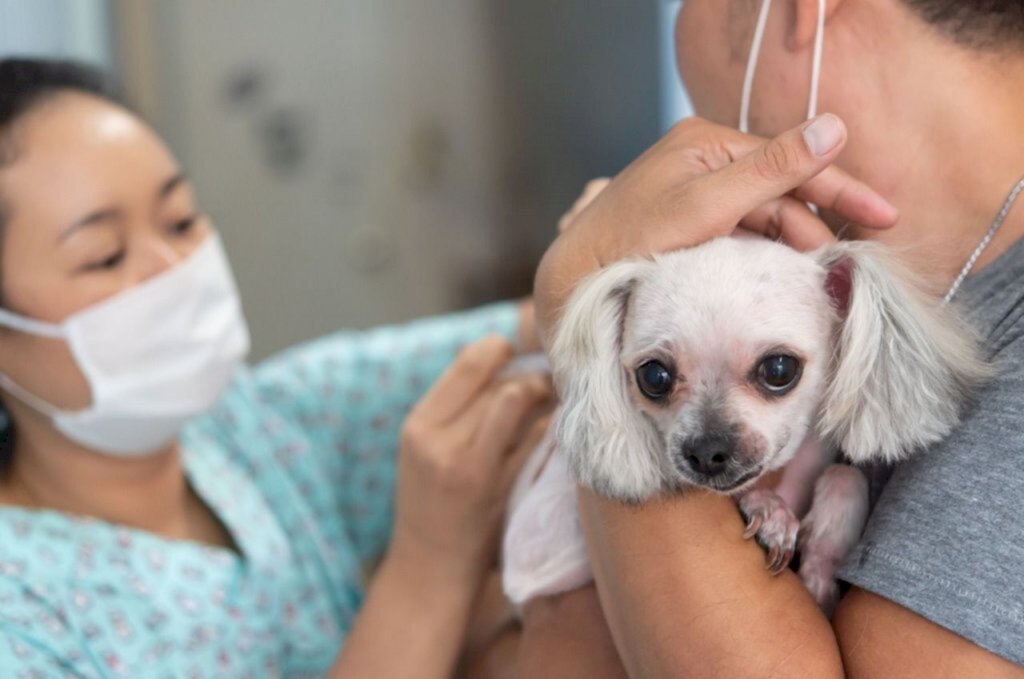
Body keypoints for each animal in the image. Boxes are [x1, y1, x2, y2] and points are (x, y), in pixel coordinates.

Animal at [507, 237, 987, 614]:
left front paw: (821, 563)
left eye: (779, 369)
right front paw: (768, 510)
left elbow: (845, 475)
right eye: (653, 377)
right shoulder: (537, 549)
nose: (706, 452)